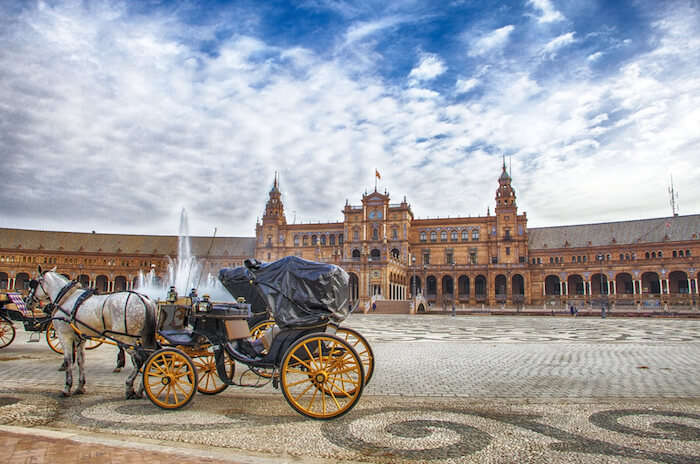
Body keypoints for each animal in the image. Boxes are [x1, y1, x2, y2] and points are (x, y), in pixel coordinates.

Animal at [26, 268, 157, 398]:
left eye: (33, 284)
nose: (27, 301)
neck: (67, 297)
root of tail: (144, 299)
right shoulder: (80, 338)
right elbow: (81, 360)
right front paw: (80, 387)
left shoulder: (64, 335)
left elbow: (68, 360)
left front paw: (67, 387)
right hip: (140, 337)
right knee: (149, 356)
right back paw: (141, 388)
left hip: (125, 337)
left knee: (139, 358)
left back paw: (130, 387)